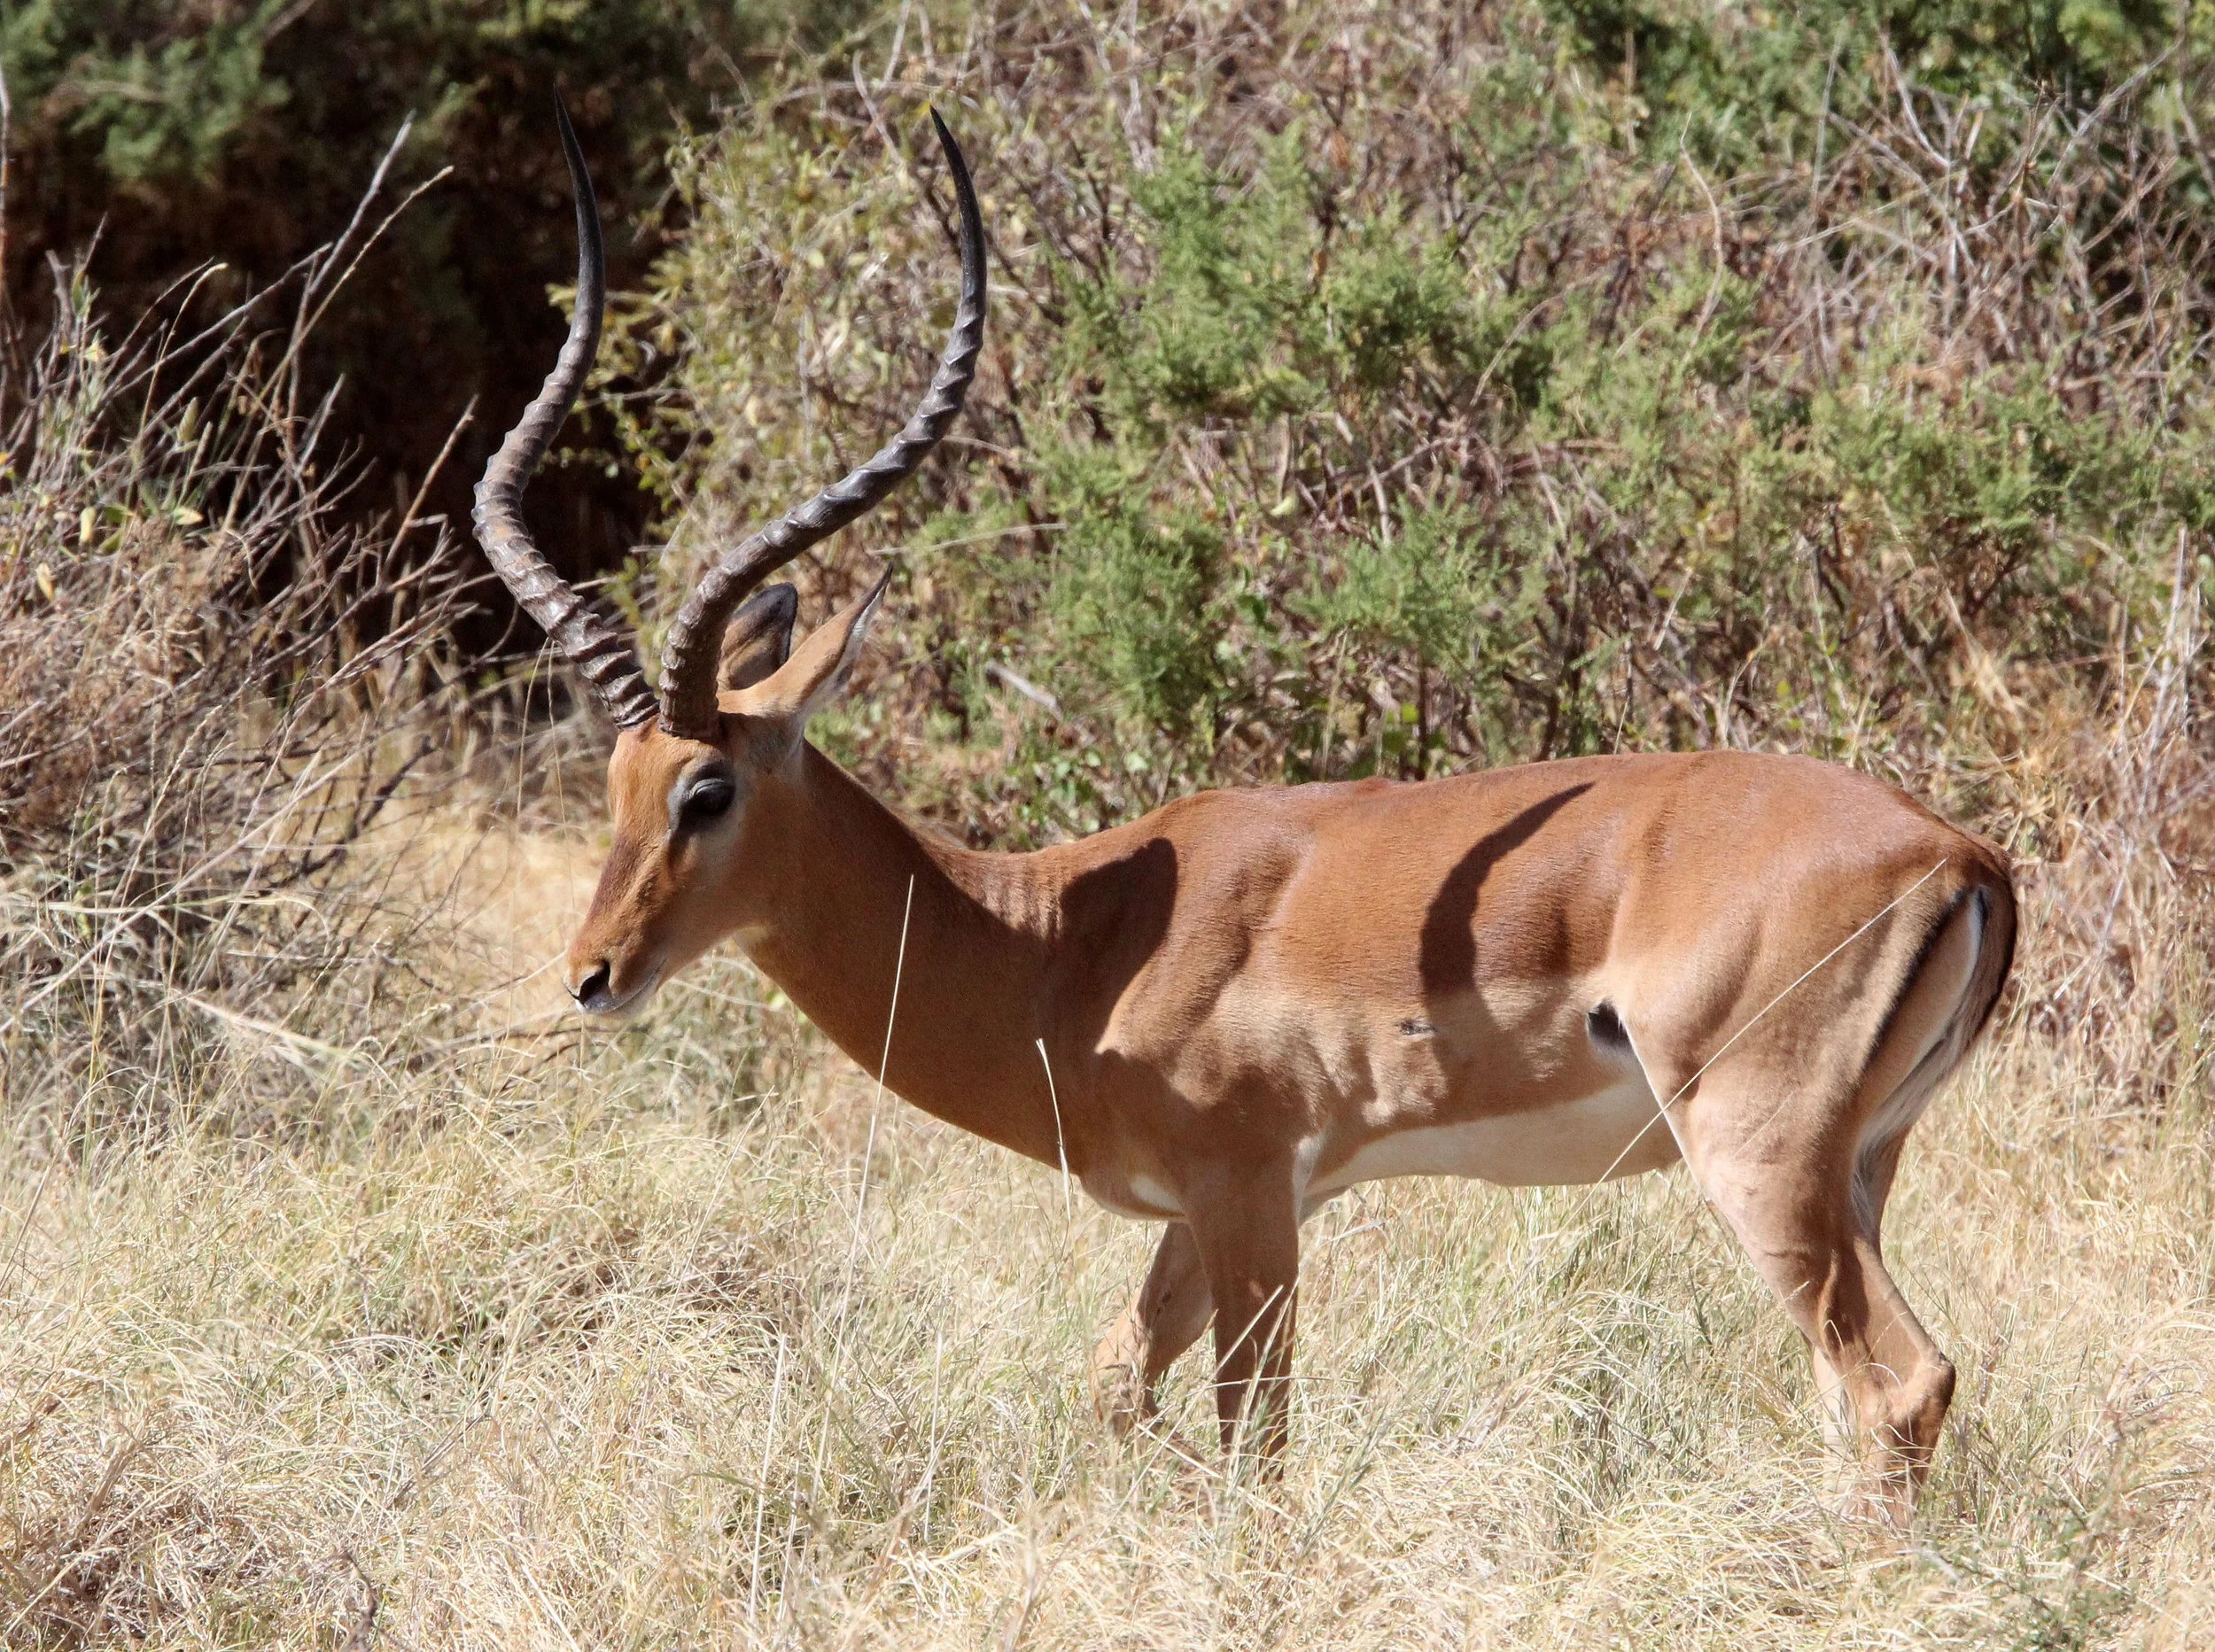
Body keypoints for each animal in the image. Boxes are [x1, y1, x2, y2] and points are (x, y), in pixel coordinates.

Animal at [475, 105, 2016, 1527]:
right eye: (612, 787)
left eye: (709, 788)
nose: (591, 975)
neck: (1070, 946)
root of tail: (1959, 852)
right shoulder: (1209, 1213)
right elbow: (1115, 1386)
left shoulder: (1252, 1195)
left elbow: (1256, 1447)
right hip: (1855, 1167)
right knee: (1860, 1389)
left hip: (1759, 1158)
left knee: (1899, 1380)